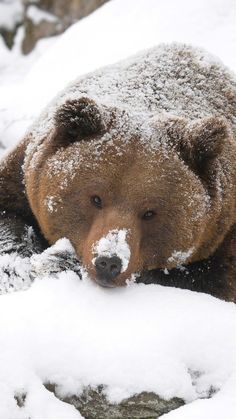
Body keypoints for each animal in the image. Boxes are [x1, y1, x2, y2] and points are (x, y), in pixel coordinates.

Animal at [0, 43, 236, 302]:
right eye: (96, 198)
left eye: (150, 212)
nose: (108, 262)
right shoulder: (25, 172)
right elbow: (9, 216)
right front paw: (17, 268)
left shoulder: (222, 233)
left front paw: (58, 261)